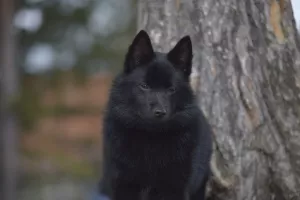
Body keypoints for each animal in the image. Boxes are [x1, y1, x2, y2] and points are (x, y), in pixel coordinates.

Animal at [99, 29, 213, 200]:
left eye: (171, 89)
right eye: (144, 86)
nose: (160, 112)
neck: (151, 138)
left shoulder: (174, 188)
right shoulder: (124, 185)